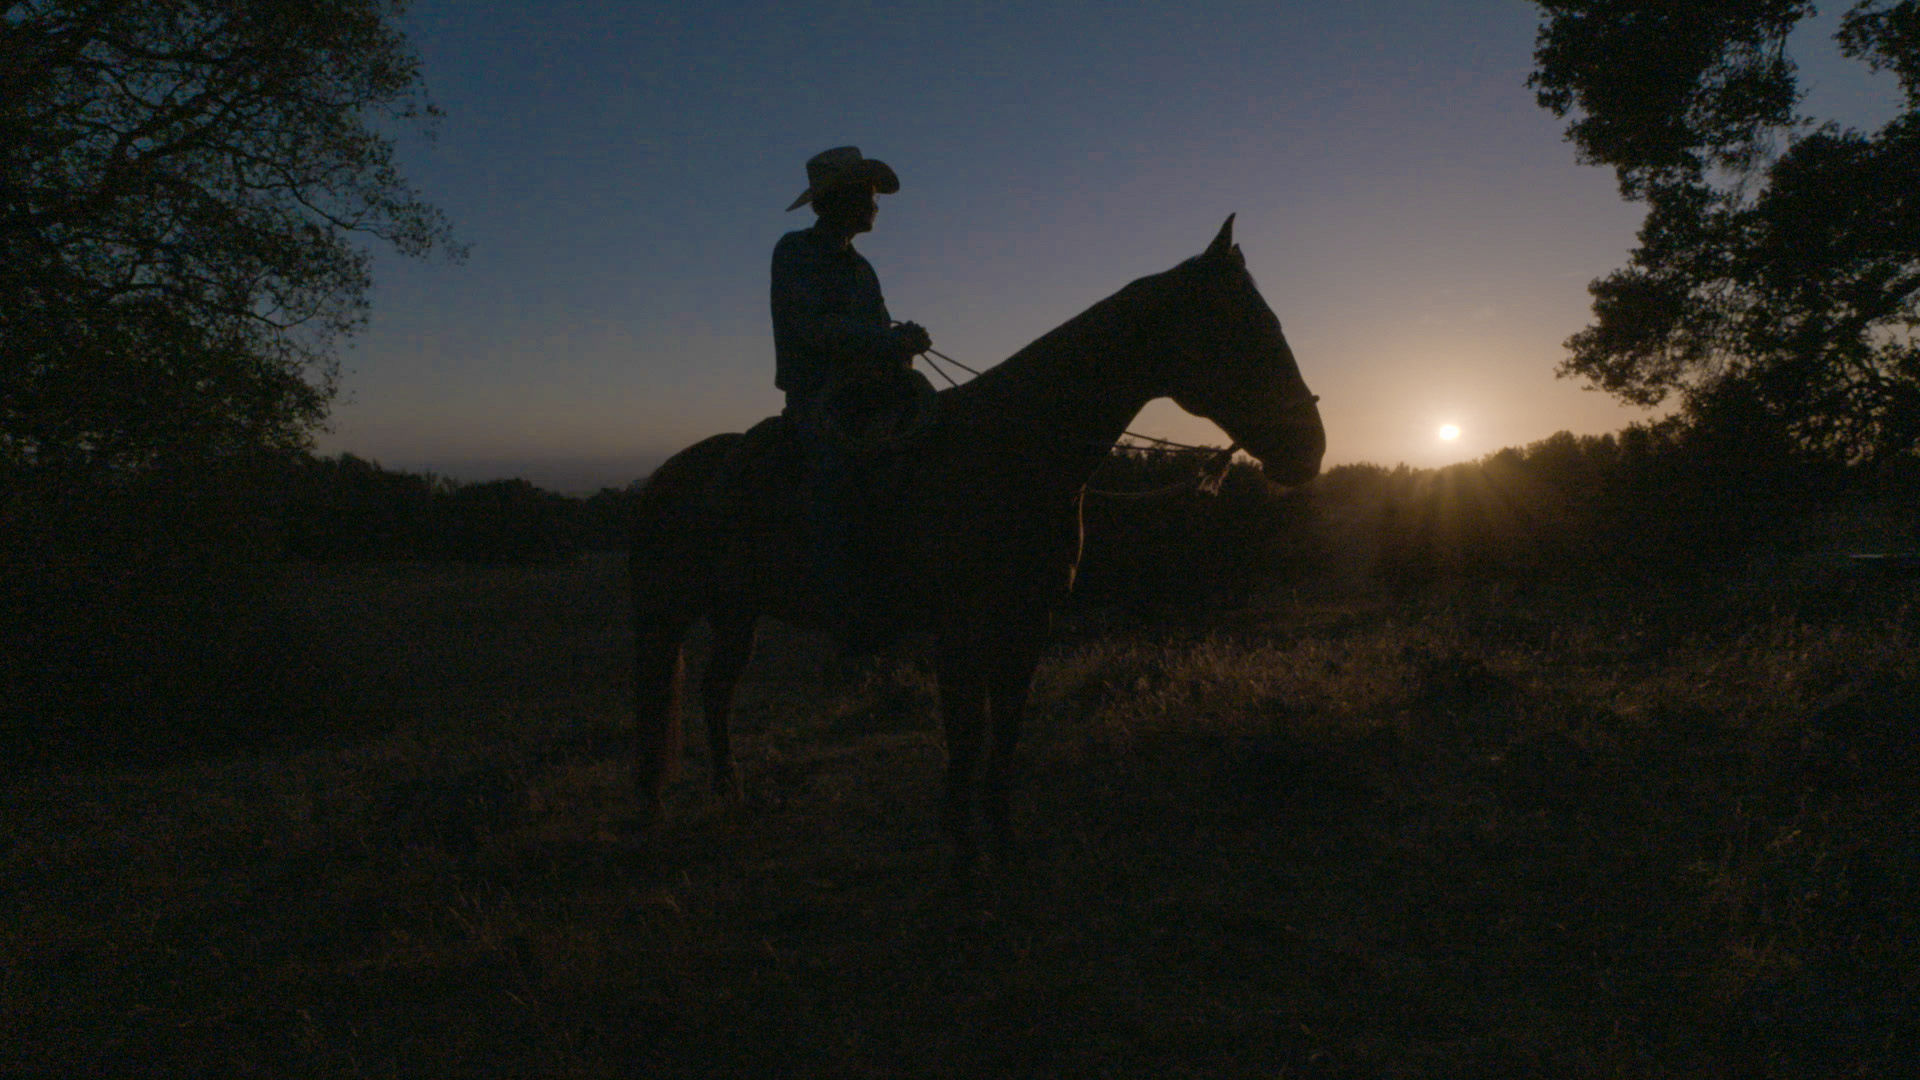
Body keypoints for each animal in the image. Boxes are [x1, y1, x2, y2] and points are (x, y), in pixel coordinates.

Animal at [629, 216, 1320, 864]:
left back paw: (730, 796)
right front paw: (962, 846)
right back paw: (653, 812)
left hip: (737, 610)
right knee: (656, 700)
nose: (1311, 448)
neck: (1011, 452)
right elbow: (965, 731)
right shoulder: (959, 626)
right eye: (1244, 328)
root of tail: (662, 476)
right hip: (668, 612)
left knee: (716, 691)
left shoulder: (1029, 621)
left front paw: (1002, 838)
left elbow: (1006, 730)